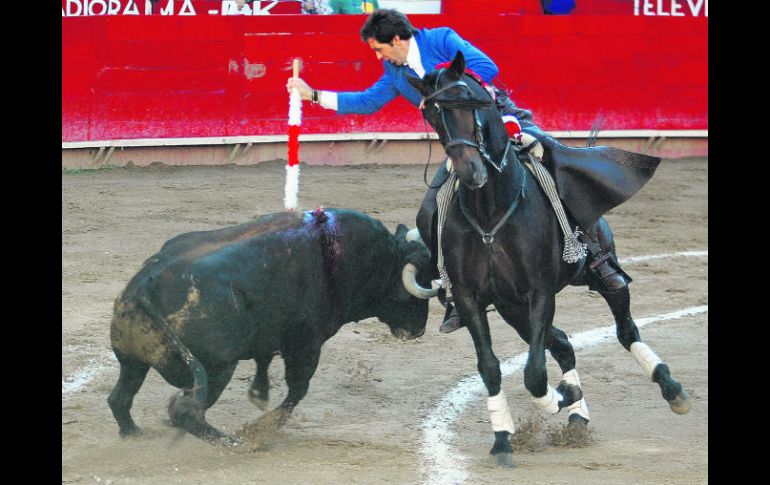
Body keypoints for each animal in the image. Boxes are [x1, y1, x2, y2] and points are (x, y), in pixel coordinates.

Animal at [106, 208, 436, 442]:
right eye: (419, 281)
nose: (418, 329)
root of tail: (145, 286)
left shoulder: (270, 333)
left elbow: (264, 361)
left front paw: (259, 394)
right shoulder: (306, 341)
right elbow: (298, 389)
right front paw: (263, 427)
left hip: (133, 362)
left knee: (120, 398)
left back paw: (132, 433)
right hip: (217, 369)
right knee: (186, 412)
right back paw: (236, 444)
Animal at [408, 51, 688, 466]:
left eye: (470, 103)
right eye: (432, 114)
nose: (470, 171)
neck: (491, 210)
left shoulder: (539, 293)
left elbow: (535, 373)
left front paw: (562, 397)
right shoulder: (474, 299)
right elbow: (492, 368)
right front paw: (504, 438)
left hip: (598, 275)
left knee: (624, 329)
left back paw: (671, 389)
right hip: (510, 309)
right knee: (563, 345)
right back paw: (576, 415)